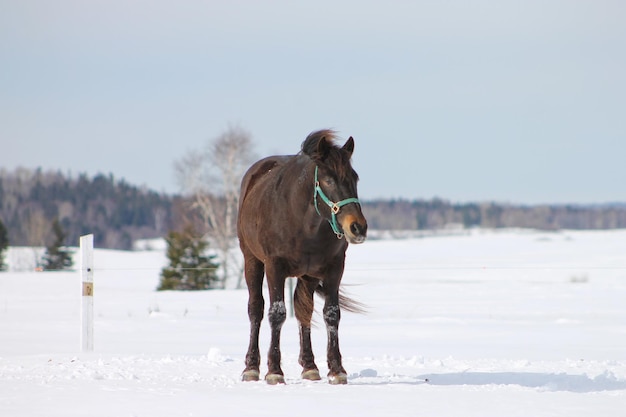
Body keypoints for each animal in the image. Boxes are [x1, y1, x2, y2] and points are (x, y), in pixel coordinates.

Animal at [236, 129, 368, 384]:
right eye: (328, 180)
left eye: (355, 178)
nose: (358, 227)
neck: (303, 223)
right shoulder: (274, 267)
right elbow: (277, 313)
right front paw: (274, 371)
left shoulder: (334, 268)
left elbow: (331, 314)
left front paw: (337, 370)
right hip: (252, 261)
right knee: (256, 309)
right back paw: (251, 367)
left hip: (308, 275)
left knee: (302, 310)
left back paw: (309, 366)